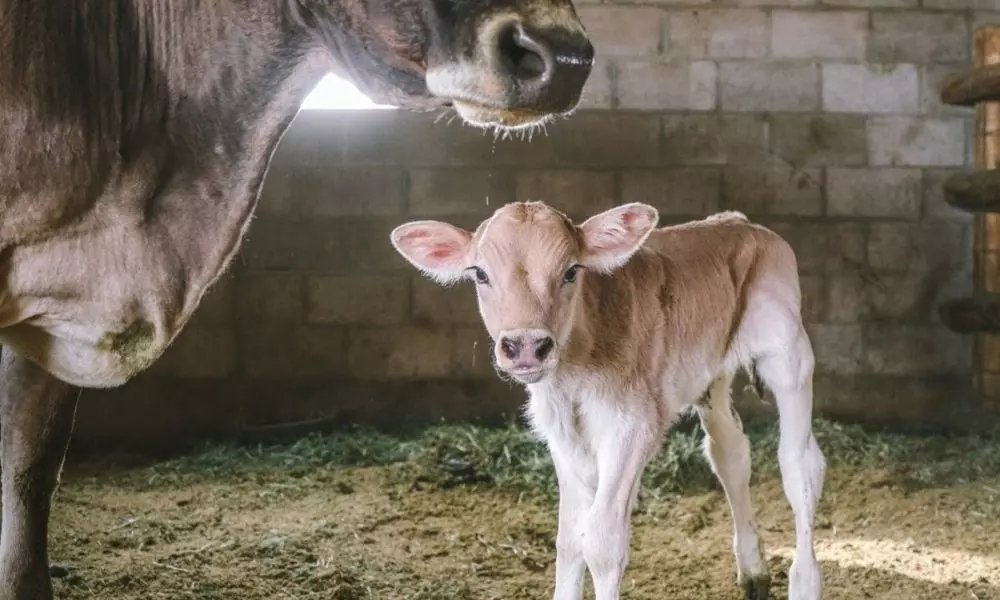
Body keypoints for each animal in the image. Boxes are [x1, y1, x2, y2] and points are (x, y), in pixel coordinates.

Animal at [390, 203, 828, 600]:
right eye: (480, 274)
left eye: (571, 271)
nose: (527, 346)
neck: (575, 371)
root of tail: (739, 222)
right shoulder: (562, 434)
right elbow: (569, 539)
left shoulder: (632, 427)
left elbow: (601, 542)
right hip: (712, 375)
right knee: (730, 453)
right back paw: (753, 573)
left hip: (788, 356)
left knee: (800, 465)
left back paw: (805, 582)